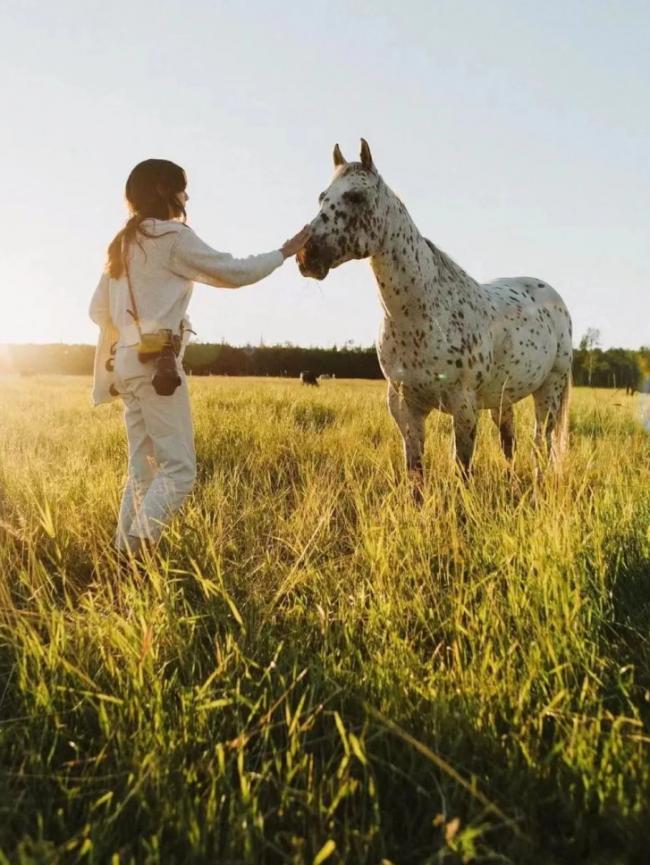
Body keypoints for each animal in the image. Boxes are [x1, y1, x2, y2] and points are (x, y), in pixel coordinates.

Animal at [296, 138, 568, 496]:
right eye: (322, 197)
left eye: (356, 196)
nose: (306, 256)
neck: (421, 314)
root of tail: (551, 295)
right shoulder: (405, 407)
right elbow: (415, 473)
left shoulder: (463, 407)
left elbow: (462, 469)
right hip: (503, 399)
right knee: (510, 443)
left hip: (549, 390)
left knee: (542, 443)